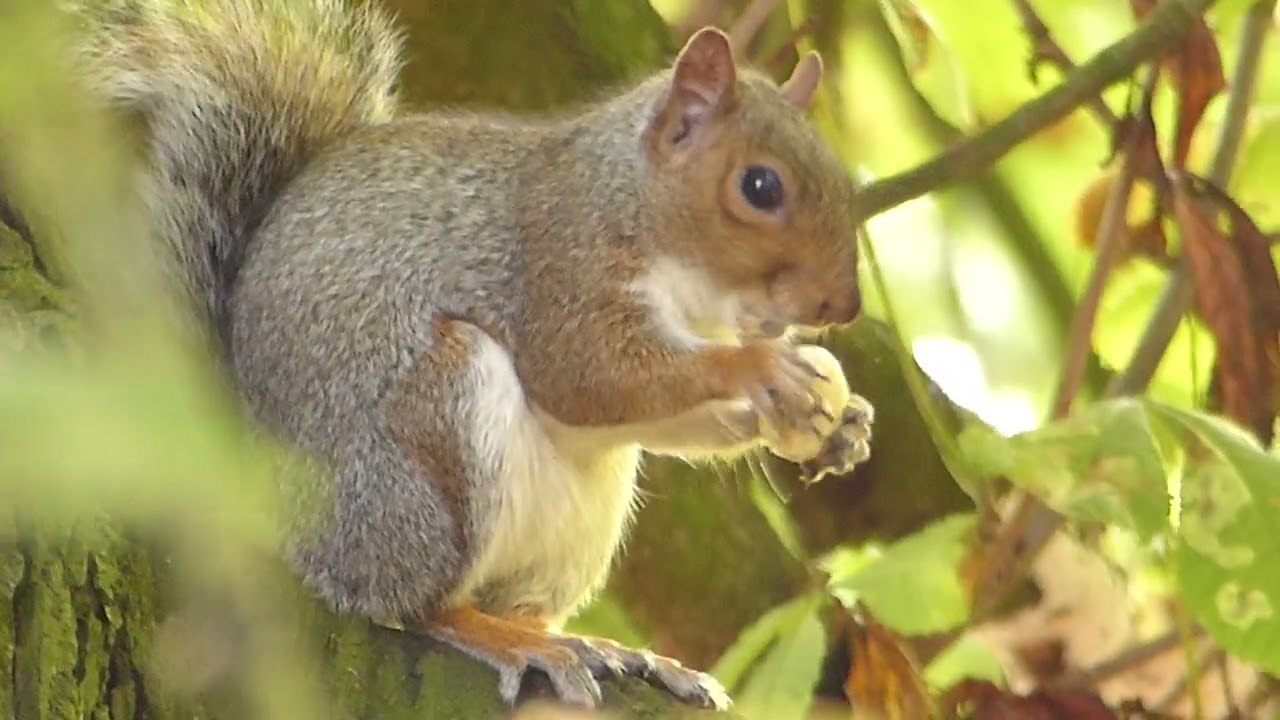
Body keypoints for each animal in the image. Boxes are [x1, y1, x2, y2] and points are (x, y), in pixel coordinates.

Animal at [68, 0, 874, 710]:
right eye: (760, 186)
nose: (843, 307)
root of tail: (262, 496)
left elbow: (660, 417)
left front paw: (841, 425)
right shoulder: (561, 267)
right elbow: (590, 378)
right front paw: (761, 370)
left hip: (580, 521)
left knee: (514, 596)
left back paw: (601, 647)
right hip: (427, 445)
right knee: (416, 605)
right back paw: (507, 640)